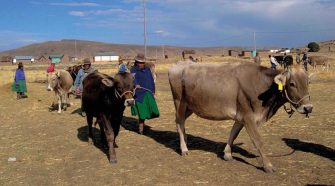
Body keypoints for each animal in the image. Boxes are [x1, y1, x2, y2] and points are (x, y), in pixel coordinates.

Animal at [169, 62, 314, 173]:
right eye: (292, 84)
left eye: (308, 82)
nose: (308, 108)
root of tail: (178, 64)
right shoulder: (248, 117)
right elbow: (258, 141)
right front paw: (268, 166)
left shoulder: (241, 117)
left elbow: (233, 134)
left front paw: (227, 154)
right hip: (179, 102)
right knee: (179, 123)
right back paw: (184, 149)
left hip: (190, 107)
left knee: (181, 123)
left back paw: (186, 141)